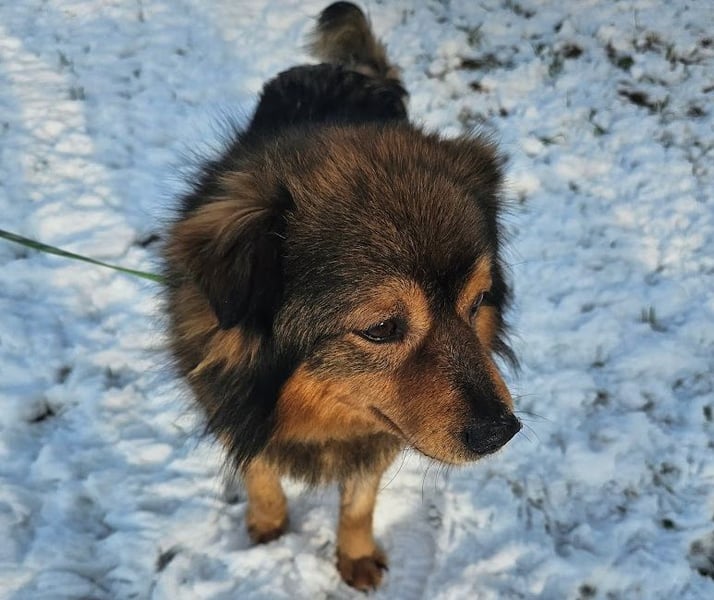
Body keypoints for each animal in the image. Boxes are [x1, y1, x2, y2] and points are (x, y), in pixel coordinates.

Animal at [163, 2, 520, 591]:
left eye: (478, 302)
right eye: (381, 329)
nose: (502, 433)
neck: (313, 408)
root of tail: (348, 68)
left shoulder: (375, 431)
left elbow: (359, 500)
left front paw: (354, 555)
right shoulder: (234, 404)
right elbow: (260, 471)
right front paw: (268, 524)